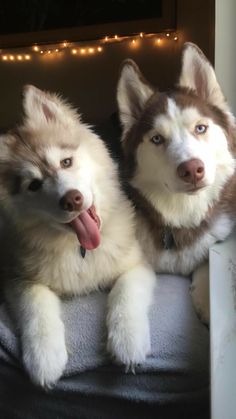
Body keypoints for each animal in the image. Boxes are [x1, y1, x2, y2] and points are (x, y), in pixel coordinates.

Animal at [0, 85, 157, 388]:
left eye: (66, 162)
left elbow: (125, 293)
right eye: (33, 185)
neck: (80, 249)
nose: (72, 200)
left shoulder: (136, 264)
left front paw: (128, 341)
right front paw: (44, 358)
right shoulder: (17, 278)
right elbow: (35, 307)